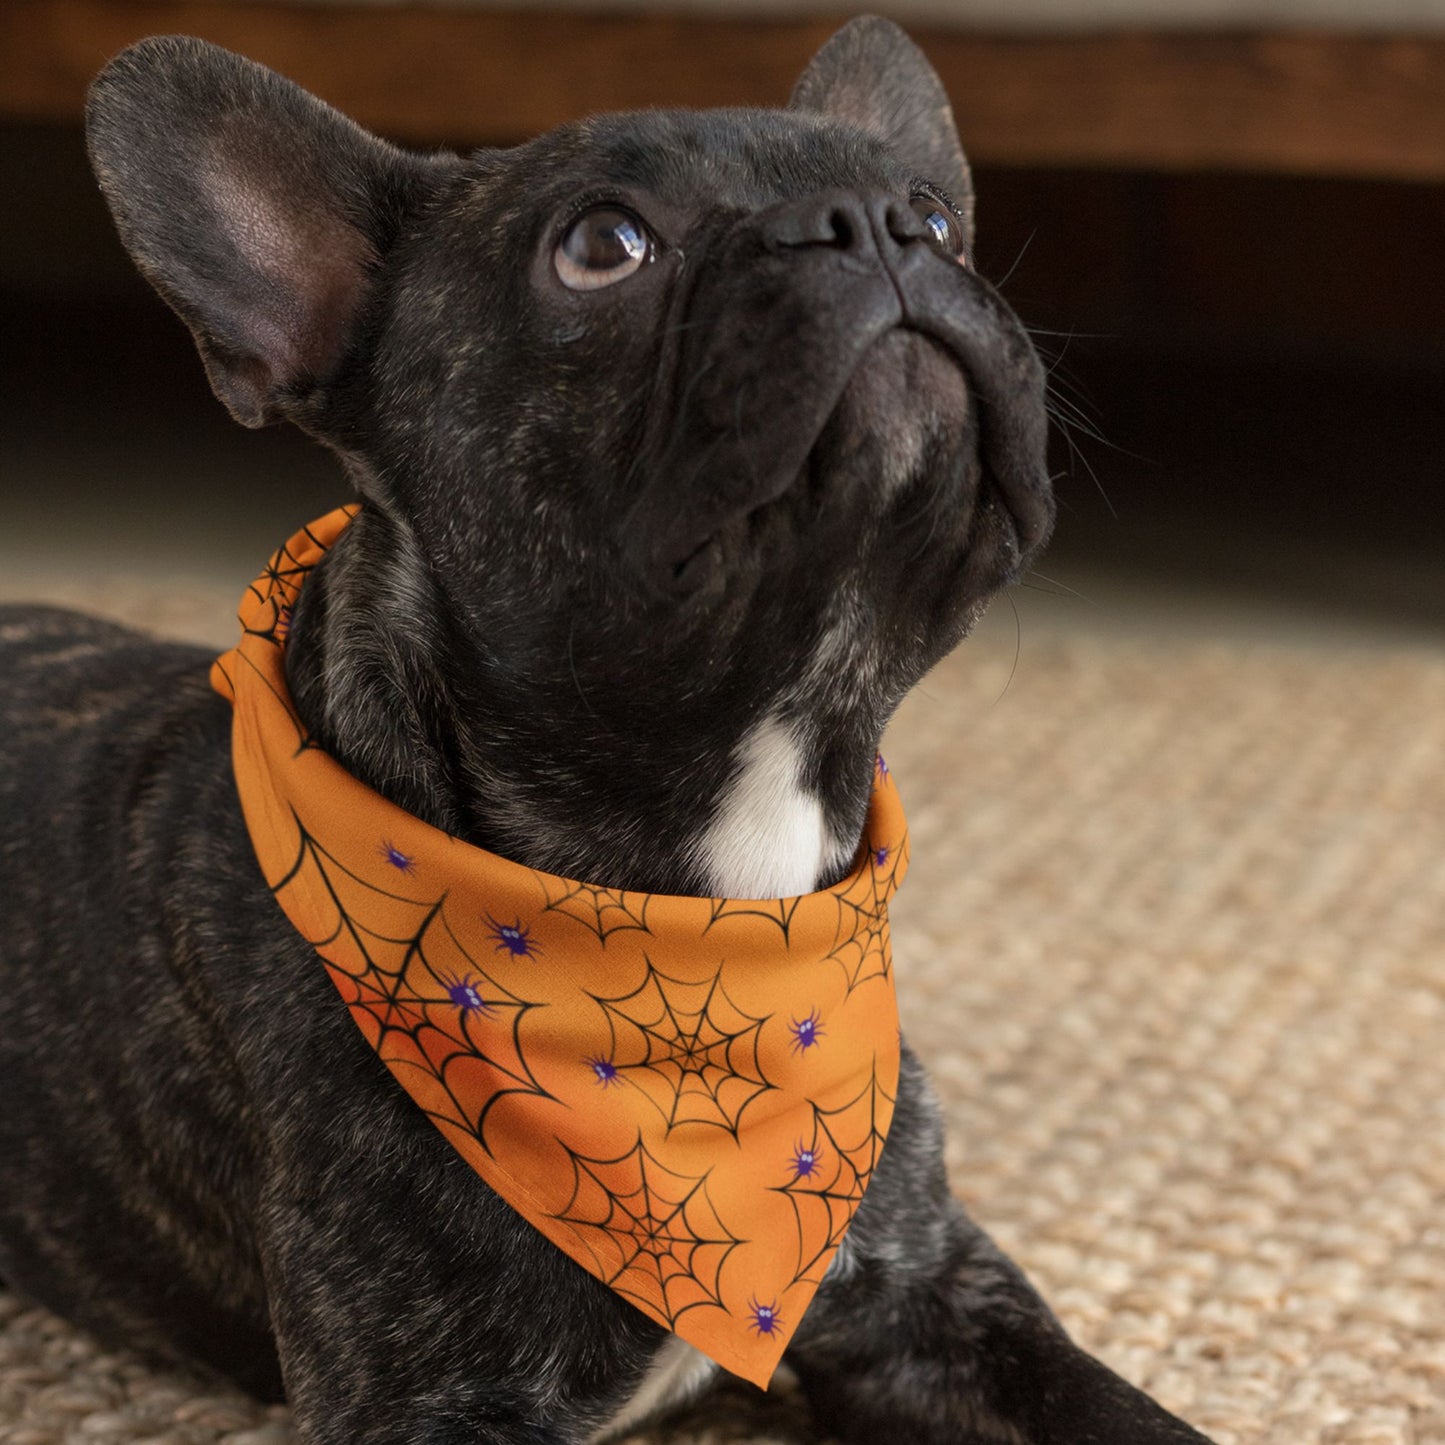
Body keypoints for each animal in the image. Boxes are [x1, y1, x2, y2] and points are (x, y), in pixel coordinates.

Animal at [0, 22, 1213, 1445]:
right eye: (602, 245)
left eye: (936, 219)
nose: (872, 225)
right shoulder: (430, 1403)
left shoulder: (933, 1297)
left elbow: (1126, 1412)